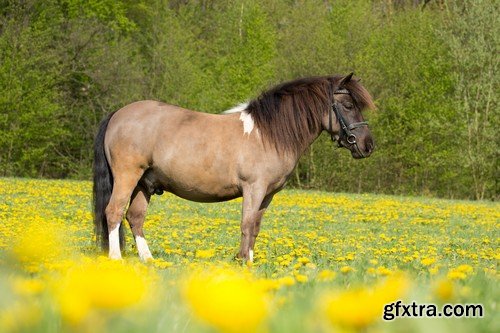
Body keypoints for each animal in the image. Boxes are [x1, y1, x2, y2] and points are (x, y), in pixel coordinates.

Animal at [94, 73, 376, 262]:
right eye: (349, 106)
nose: (368, 145)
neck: (267, 134)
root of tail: (118, 114)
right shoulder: (254, 188)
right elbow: (247, 224)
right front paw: (244, 263)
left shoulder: (268, 194)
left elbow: (256, 227)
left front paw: (246, 260)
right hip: (128, 176)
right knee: (114, 212)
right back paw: (116, 259)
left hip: (145, 183)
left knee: (135, 217)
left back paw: (148, 260)